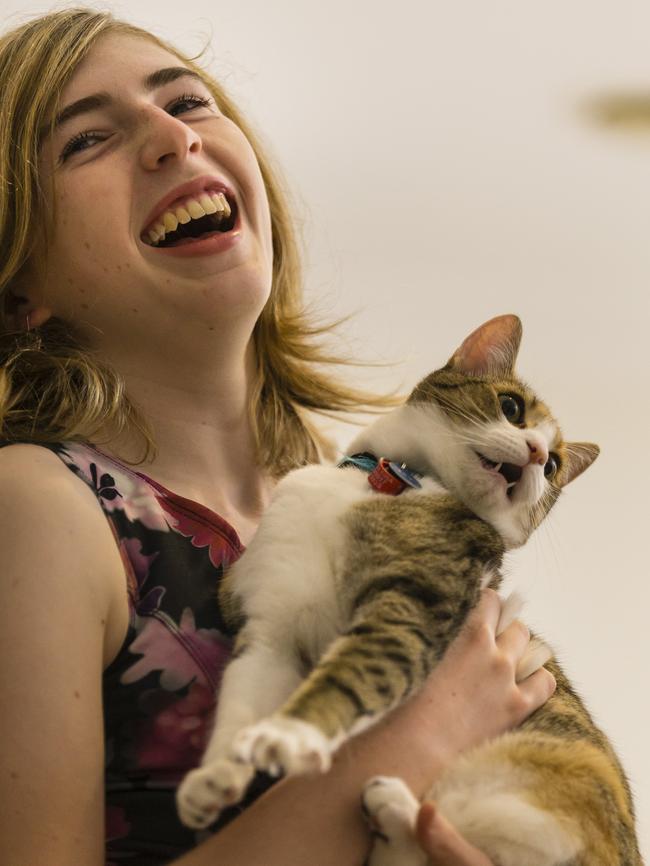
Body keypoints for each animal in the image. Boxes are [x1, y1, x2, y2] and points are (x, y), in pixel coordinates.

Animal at [173, 314, 636, 860]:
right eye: (511, 407)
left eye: (553, 468)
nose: (539, 452)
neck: (384, 480)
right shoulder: (272, 625)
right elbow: (242, 698)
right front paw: (216, 775)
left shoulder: (412, 607)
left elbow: (348, 674)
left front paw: (288, 734)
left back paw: (395, 804)